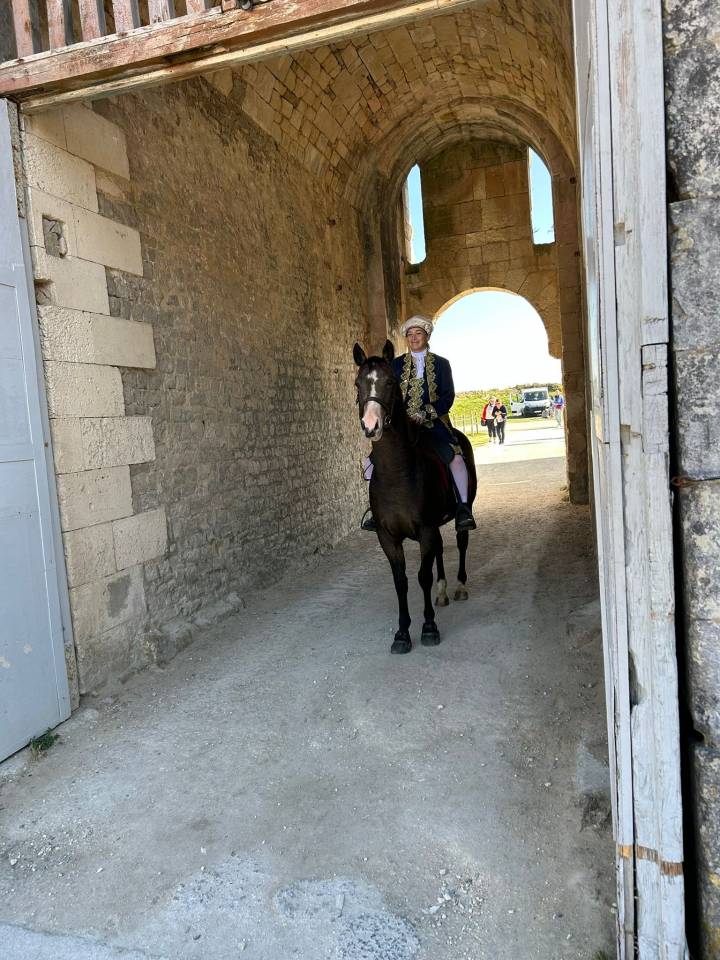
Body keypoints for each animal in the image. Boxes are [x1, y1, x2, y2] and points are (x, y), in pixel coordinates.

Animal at [353, 340, 477, 655]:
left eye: (390, 382)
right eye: (358, 383)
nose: (371, 425)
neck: (397, 473)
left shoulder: (425, 529)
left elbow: (423, 576)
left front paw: (429, 627)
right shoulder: (388, 536)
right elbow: (401, 581)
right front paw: (402, 633)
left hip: (460, 511)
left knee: (461, 542)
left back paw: (459, 587)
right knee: (439, 552)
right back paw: (442, 592)